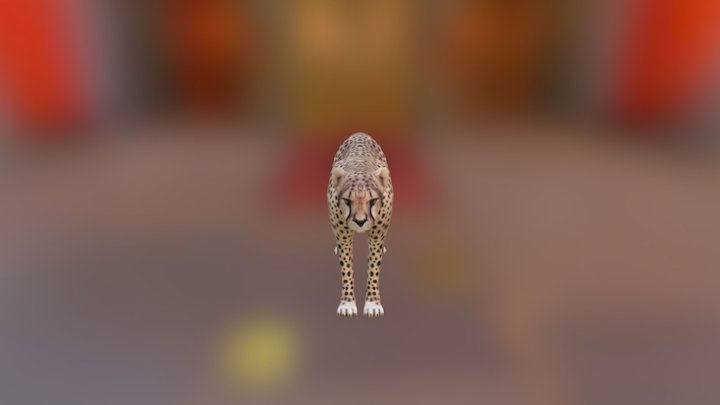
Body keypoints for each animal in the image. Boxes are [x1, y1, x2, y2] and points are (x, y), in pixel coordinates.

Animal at [327, 132, 393, 317]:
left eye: (372, 201)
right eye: (347, 201)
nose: (360, 221)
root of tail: (359, 134)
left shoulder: (377, 236)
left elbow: (373, 268)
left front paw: (373, 303)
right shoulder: (343, 236)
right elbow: (347, 268)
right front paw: (347, 303)